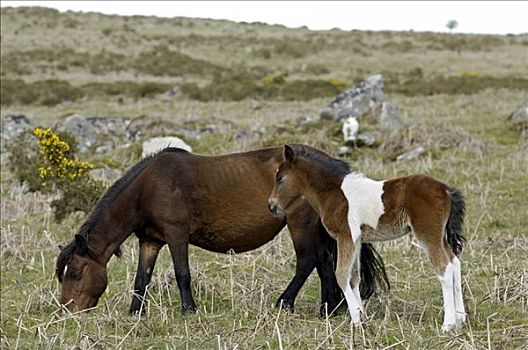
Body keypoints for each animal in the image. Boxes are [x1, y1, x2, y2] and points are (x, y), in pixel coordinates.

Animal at [56, 146, 388, 316]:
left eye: (76, 273)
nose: (68, 310)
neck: (149, 187)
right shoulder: (150, 241)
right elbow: (142, 279)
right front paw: (135, 312)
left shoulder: (176, 235)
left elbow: (182, 273)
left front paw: (189, 310)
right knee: (324, 263)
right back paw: (329, 308)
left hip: (300, 223)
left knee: (309, 261)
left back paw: (288, 303)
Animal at [268, 144, 466, 330]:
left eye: (280, 178)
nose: (271, 206)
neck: (334, 194)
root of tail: (446, 190)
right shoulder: (357, 240)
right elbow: (354, 277)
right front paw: (361, 315)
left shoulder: (345, 236)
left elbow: (341, 275)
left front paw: (356, 321)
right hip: (441, 237)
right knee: (455, 263)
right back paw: (461, 319)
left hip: (428, 234)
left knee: (444, 268)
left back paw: (448, 324)